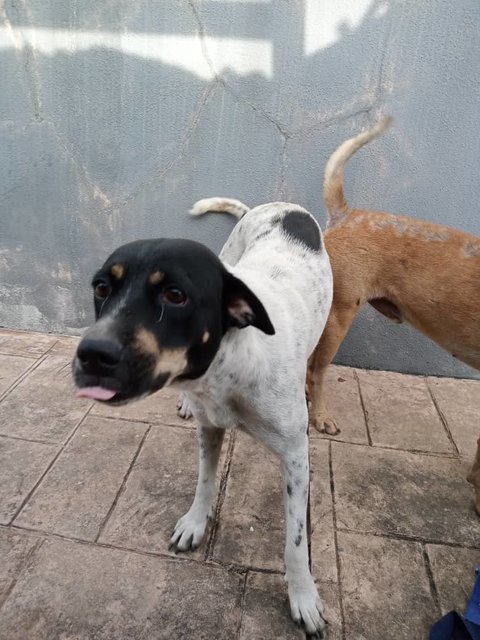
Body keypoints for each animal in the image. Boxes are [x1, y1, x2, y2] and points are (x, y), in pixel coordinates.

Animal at [72, 198, 334, 636]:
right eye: (102, 288)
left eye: (176, 295)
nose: (91, 354)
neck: (227, 370)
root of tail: (280, 205)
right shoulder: (208, 427)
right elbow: (205, 483)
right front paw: (195, 523)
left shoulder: (297, 457)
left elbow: (296, 542)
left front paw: (303, 596)